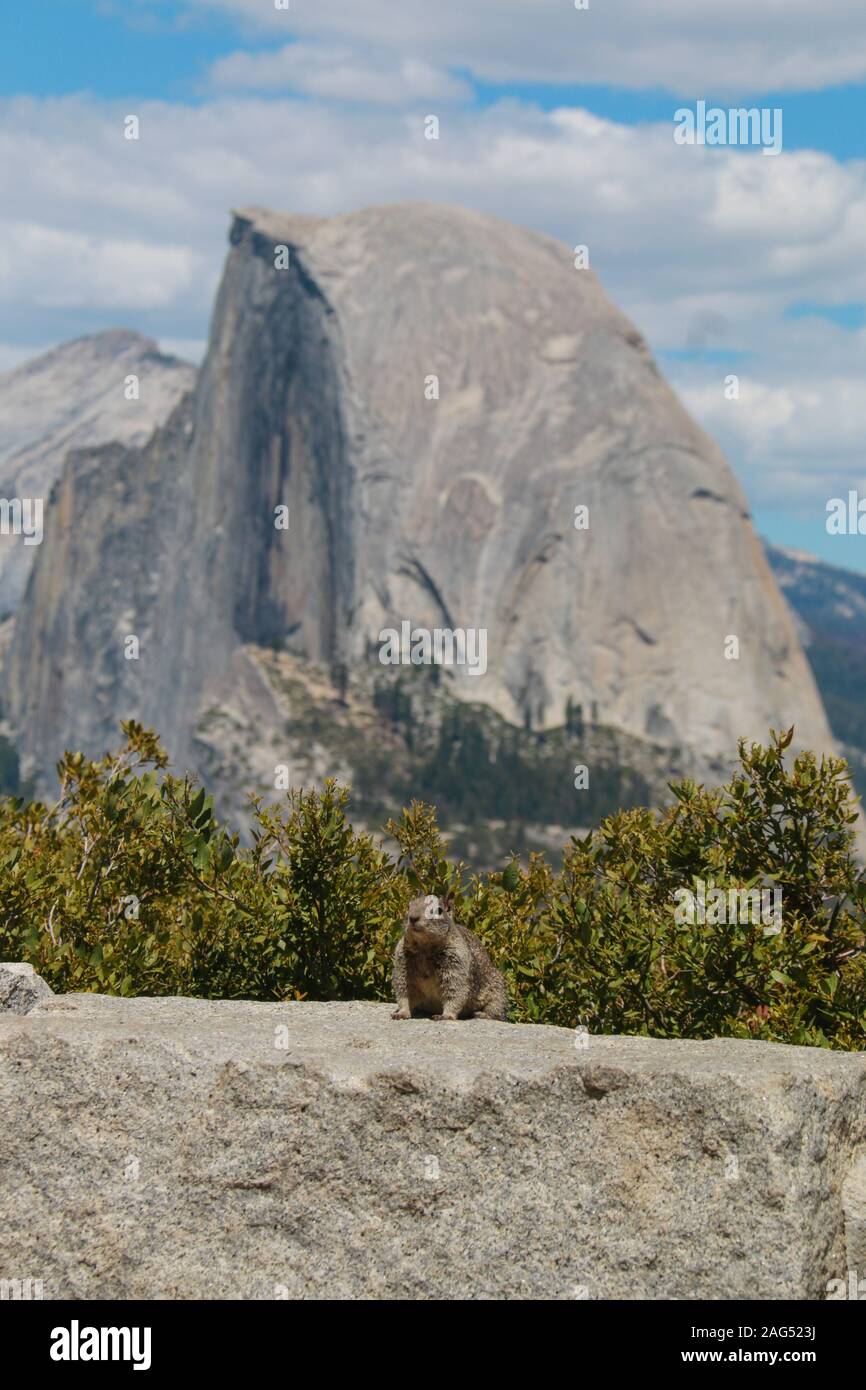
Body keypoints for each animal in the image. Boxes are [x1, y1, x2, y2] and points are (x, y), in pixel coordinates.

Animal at [391, 889, 508, 1023]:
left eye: (438, 910)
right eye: (409, 905)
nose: (413, 918)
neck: (425, 948)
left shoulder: (456, 965)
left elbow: (454, 991)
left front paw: (446, 1015)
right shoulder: (403, 965)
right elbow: (404, 992)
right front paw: (402, 1013)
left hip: (497, 992)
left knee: (497, 1012)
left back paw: (481, 1014)